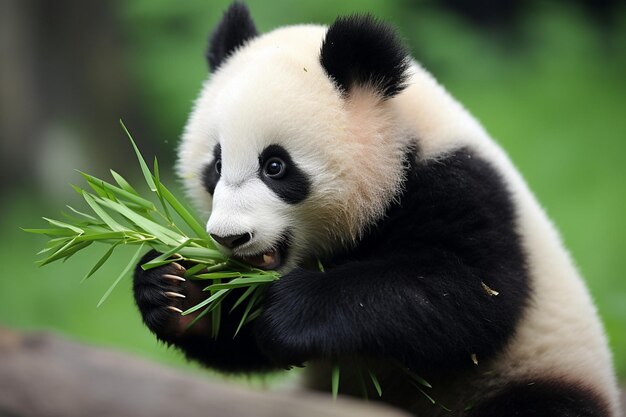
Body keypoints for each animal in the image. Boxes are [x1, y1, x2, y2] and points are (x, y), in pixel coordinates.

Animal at [133, 2, 620, 412]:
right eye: (216, 167)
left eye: (275, 166)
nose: (231, 237)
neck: (403, 143)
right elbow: (243, 340)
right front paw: (177, 290)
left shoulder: (463, 186)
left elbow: (469, 295)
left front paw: (290, 309)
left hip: (539, 369)